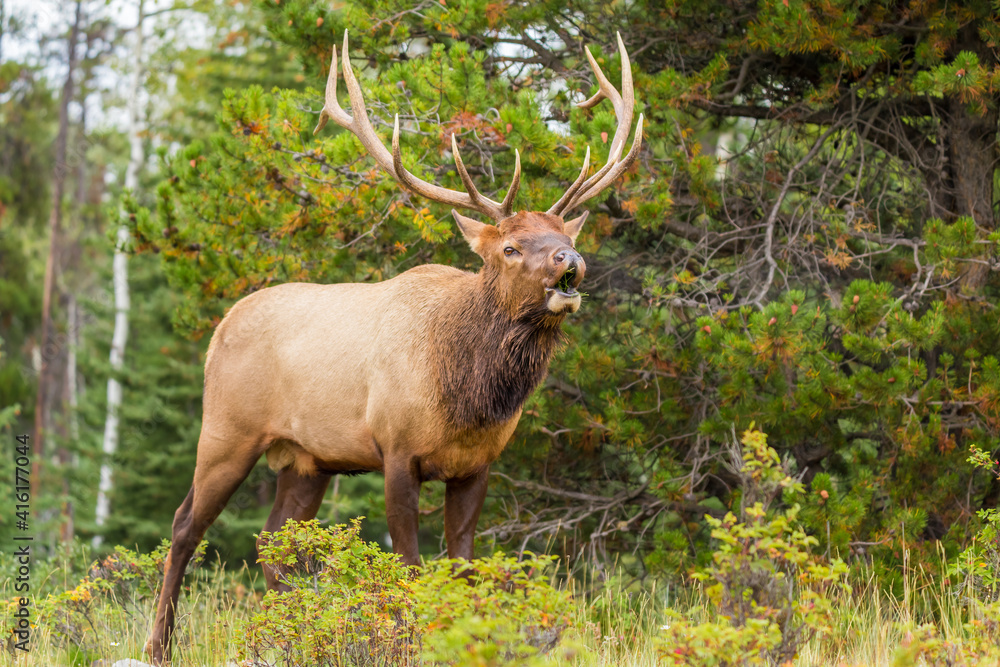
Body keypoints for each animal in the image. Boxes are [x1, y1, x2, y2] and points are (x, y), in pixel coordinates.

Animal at [146, 30, 641, 664]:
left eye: (561, 234)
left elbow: (461, 568)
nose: (569, 260)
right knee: (185, 525)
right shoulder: (397, 449)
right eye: (509, 247)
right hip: (227, 429)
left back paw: (286, 638)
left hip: (307, 459)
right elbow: (408, 568)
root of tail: (218, 330)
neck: (468, 396)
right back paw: (160, 644)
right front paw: (409, 643)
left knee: (272, 542)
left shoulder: (476, 466)